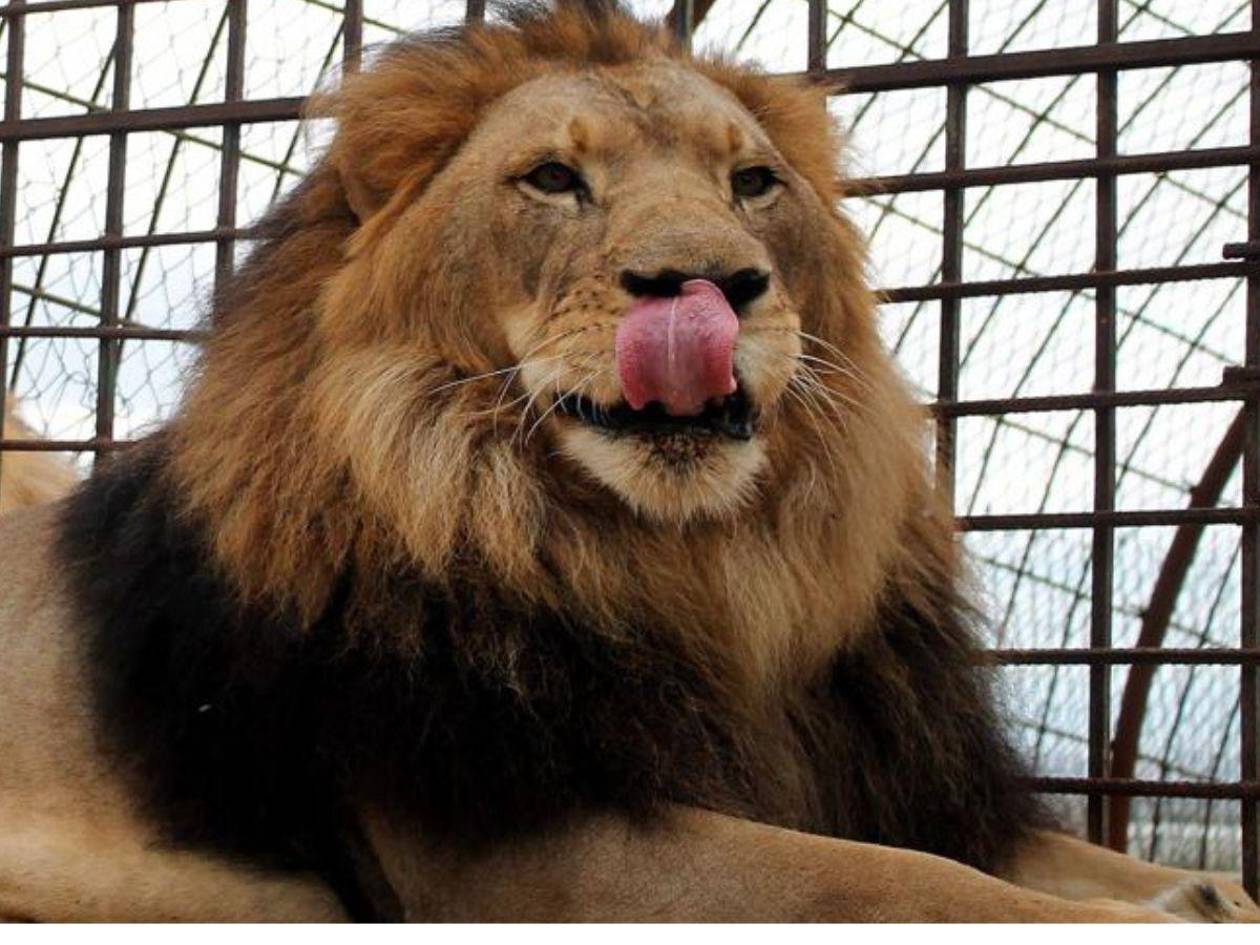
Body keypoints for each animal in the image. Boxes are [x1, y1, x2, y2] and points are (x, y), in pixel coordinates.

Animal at [0, 0, 1255, 923]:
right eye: (554, 179)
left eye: (752, 182)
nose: (709, 286)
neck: (703, 568)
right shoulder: (522, 849)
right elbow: (895, 882)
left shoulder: (876, 771)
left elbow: (1025, 856)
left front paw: (1203, 890)